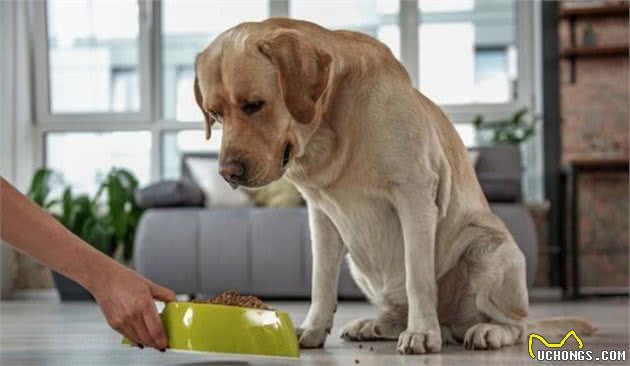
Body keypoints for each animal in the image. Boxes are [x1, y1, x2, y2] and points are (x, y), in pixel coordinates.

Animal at [195, 17, 596, 354]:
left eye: (254, 105)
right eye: (215, 114)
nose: (228, 173)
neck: (330, 131)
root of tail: (452, 323)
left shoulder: (414, 198)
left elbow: (419, 276)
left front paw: (421, 333)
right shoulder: (321, 216)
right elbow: (320, 281)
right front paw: (312, 329)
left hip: (487, 250)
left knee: (517, 324)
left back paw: (483, 331)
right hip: (359, 262)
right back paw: (376, 325)